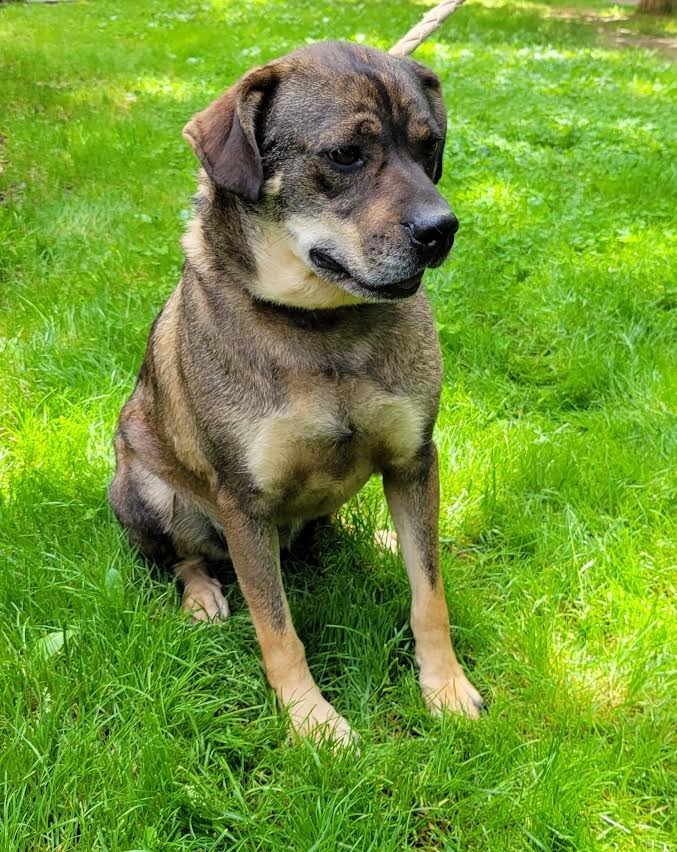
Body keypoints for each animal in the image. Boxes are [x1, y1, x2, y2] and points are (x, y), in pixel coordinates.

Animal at [108, 41, 484, 744]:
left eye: (431, 148)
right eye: (345, 154)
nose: (441, 229)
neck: (322, 327)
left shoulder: (414, 458)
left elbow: (430, 595)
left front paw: (445, 687)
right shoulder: (244, 502)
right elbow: (277, 629)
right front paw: (311, 722)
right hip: (144, 488)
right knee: (184, 557)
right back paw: (202, 596)